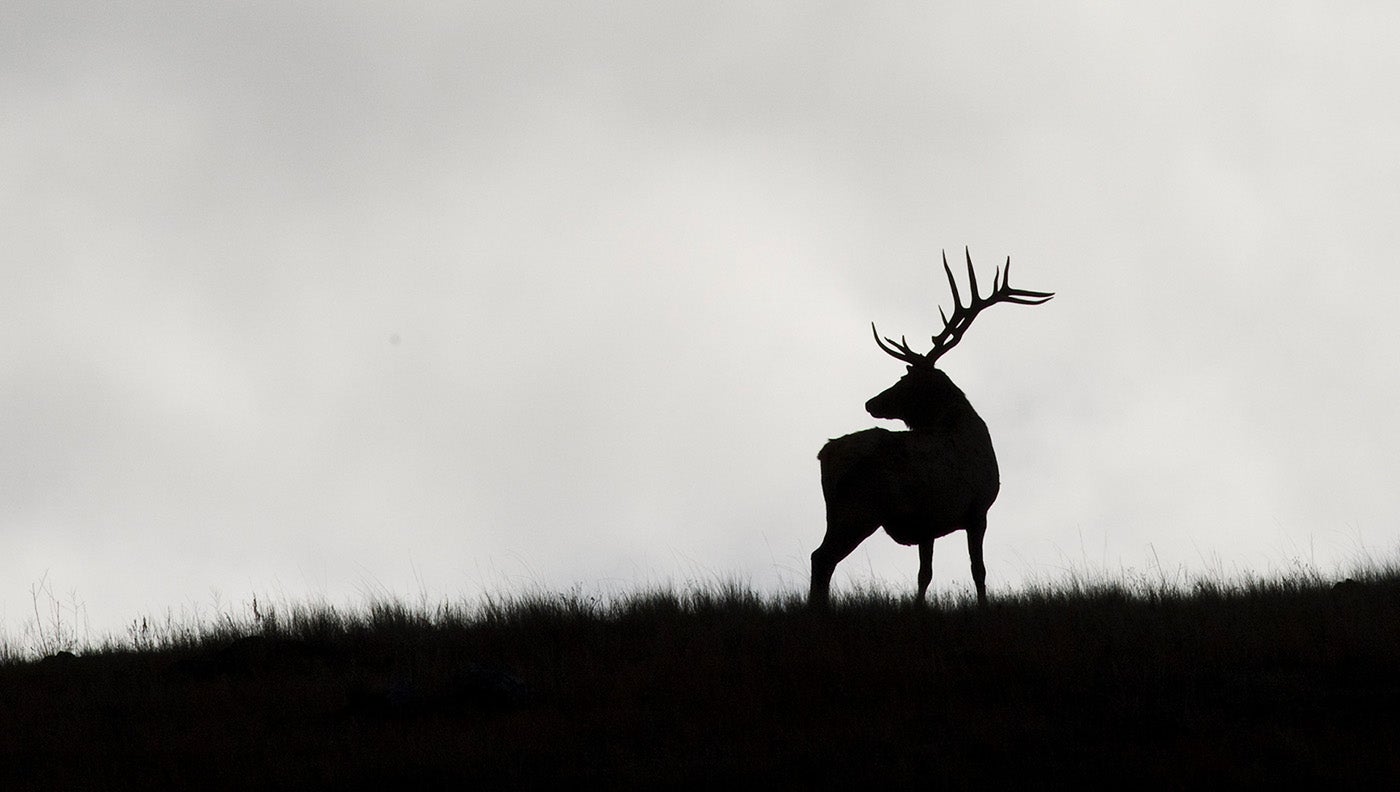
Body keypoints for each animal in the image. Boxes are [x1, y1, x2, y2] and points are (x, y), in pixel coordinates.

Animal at [810, 248, 1053, 607]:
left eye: (905, 379)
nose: (871, 402)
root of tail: (825, 453)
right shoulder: (978, 508)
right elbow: (978, 570)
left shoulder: (928, 522)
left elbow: (925, 575)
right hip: (861, 507)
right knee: (822, 558)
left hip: (835, 512)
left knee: (821, 557)